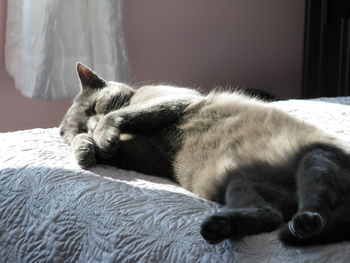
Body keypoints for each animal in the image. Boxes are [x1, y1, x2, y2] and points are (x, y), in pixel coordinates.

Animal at [60, 63, 350, 248]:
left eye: (94, 107)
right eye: (80, 128)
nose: (91, 126)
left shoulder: (173, 99)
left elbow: (124, 113)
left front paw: (102, 135)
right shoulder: (145, 155)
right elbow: (101, 148)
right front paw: (85, 149)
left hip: (317, 159)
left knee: (315, 201)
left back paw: (304, 223)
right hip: (238, 181)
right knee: (270, 215)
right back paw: (219, 227)